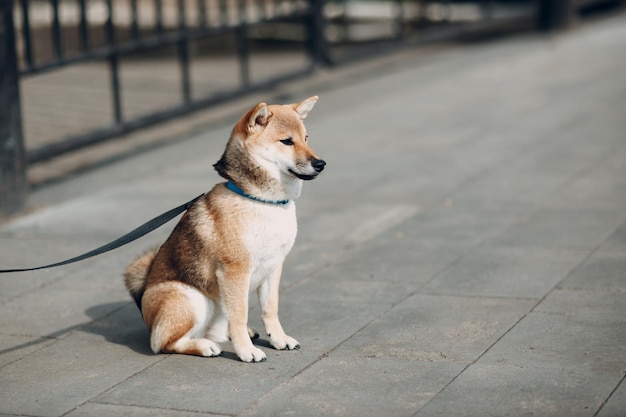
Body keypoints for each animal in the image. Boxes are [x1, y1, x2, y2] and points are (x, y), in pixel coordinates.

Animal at [123, 96, 324, 360]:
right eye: (287, 141)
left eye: (306, 138)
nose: (321, 163)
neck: (261, 201)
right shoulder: (235, 271)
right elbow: (240, 315)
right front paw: (247, 352)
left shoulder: (274, 266)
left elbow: (270, 310)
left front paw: (279, 339)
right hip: (191, 298)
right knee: (163, 343)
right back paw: (203, 346)